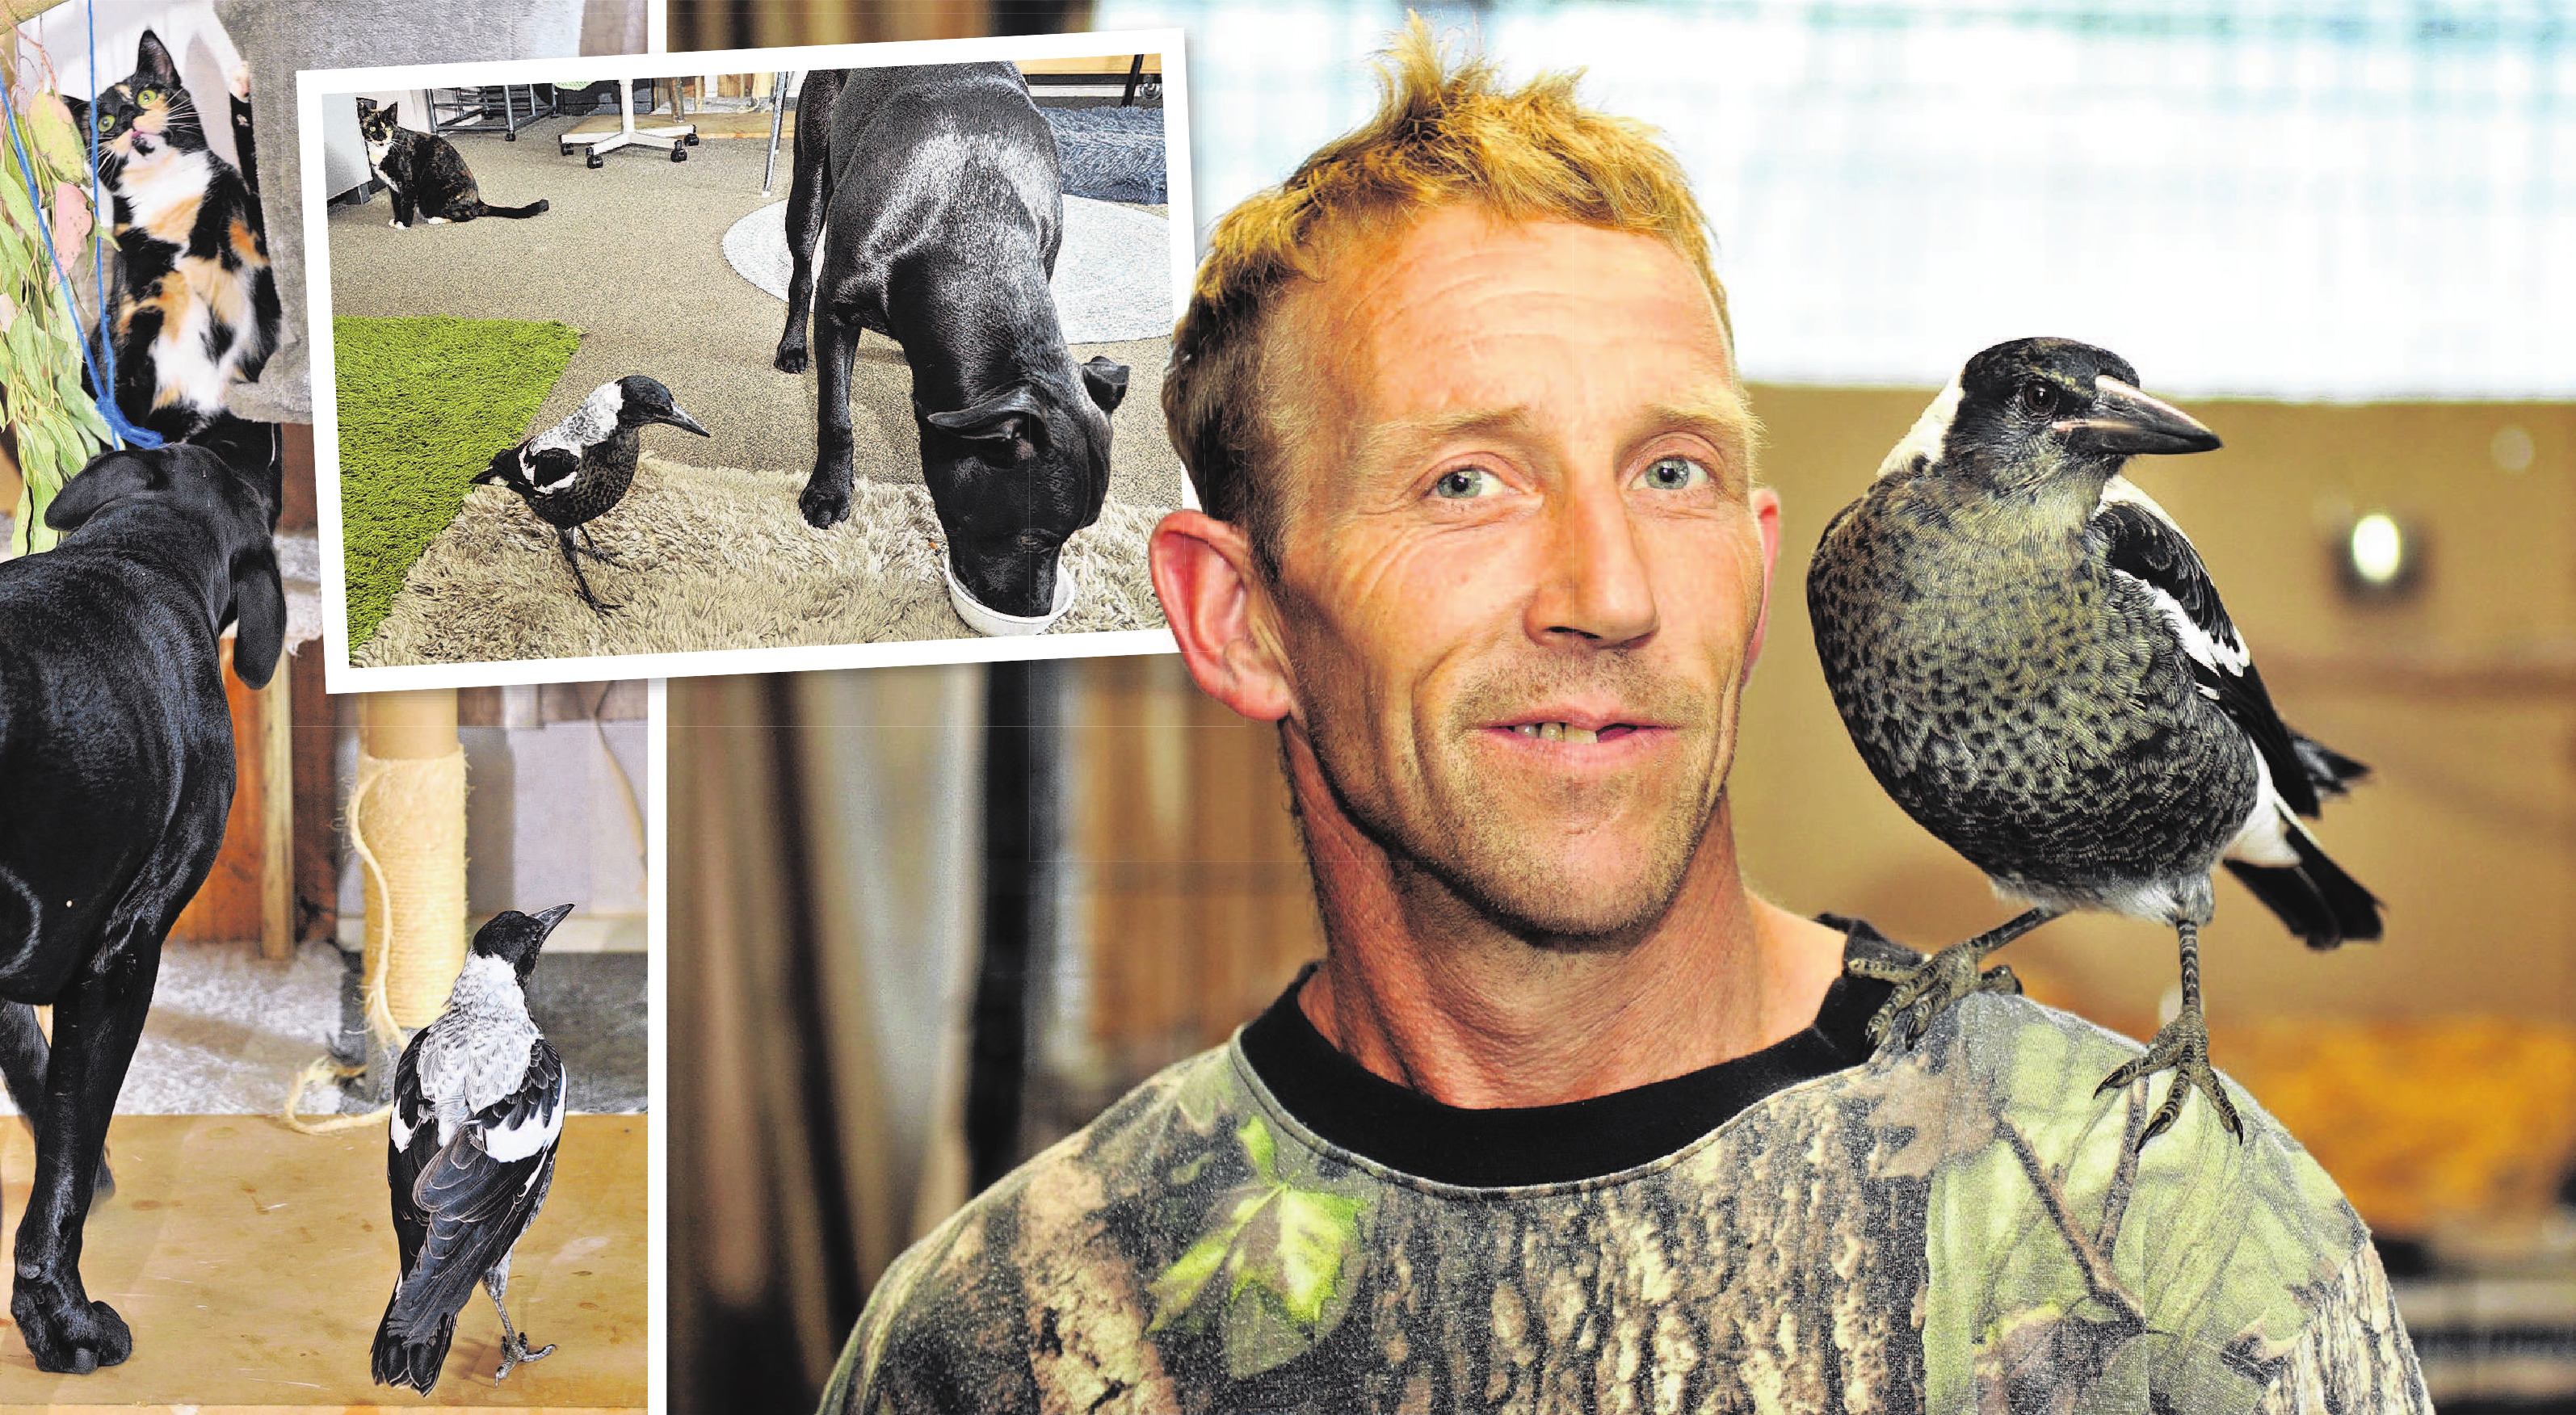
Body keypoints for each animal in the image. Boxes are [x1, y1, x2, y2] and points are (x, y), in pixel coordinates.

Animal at [67, 31, 279, 440]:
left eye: (146, 96)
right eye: (104, 122)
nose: (127, 119)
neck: (169, 192)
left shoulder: (256, 240)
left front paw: (244, 89)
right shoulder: (129, 317)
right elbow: (119, 395)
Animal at [358, 99, 548, 228]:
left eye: (388, 127)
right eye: (372, 128)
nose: (381, 138)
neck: (383, 150)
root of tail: (477, 200)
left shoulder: (408, 183)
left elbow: (405, 204)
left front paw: (404, 224)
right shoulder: (393, 187)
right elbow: (396, 205)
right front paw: (397, 220)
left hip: (433, 199)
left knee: (469, 214)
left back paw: (435, 219)